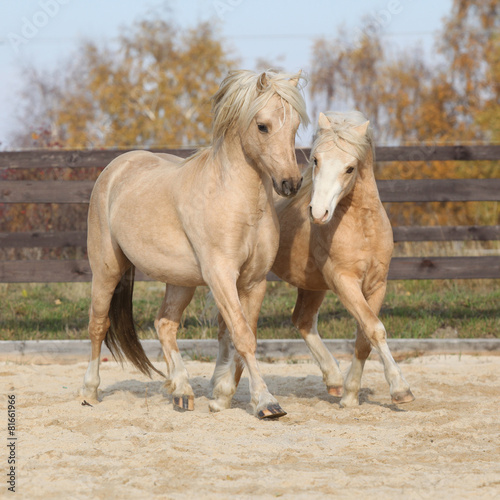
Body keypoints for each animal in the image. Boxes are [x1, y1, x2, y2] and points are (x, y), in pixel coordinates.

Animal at [80, 67, 308, 418]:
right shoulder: (221, 276)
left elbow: (242, 335)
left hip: (180, 280)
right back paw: (90, 392)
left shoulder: (254, 281)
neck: (238, 201)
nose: (290, 183)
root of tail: (116, 167)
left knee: (164, 324)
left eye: (295, 126)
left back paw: (182, 392)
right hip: (107, 269)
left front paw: (222, 397)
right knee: (98, 324)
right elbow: (243, 336)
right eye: (262, 126)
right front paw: (267, 402)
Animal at [214, 110, 414, 410]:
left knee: (302, 321)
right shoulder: (344, 282)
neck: (363, 229)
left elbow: (365, 337)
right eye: (316, 160)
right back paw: (224, 393)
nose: (318, 213)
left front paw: (350, 395)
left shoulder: (377, 284)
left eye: (350, 168)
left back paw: (333, 379)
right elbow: (374, 329)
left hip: (311, 286)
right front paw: (401, 389)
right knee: (235, 329)